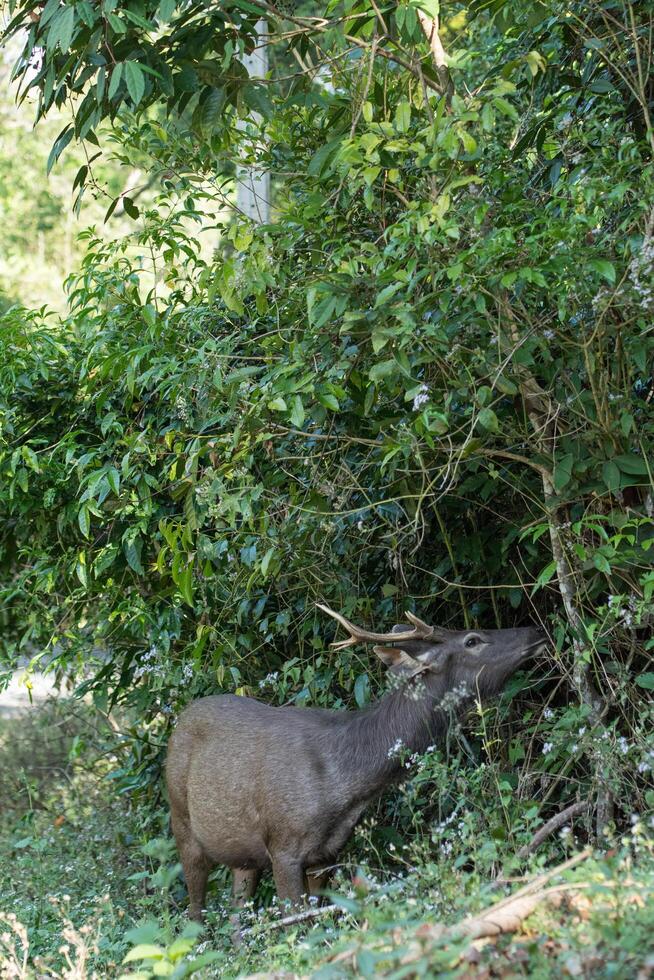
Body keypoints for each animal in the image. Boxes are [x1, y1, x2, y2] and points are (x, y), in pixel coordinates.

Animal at [165, 600, 548, 924]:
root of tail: (179, 720)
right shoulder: (283, 844)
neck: (343, 784)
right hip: (182, 820)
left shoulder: (327, 852)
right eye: (472, 640)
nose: (536, 630)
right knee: (195, 913)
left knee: (235, 918)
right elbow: (294, 924)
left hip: (241, 853)